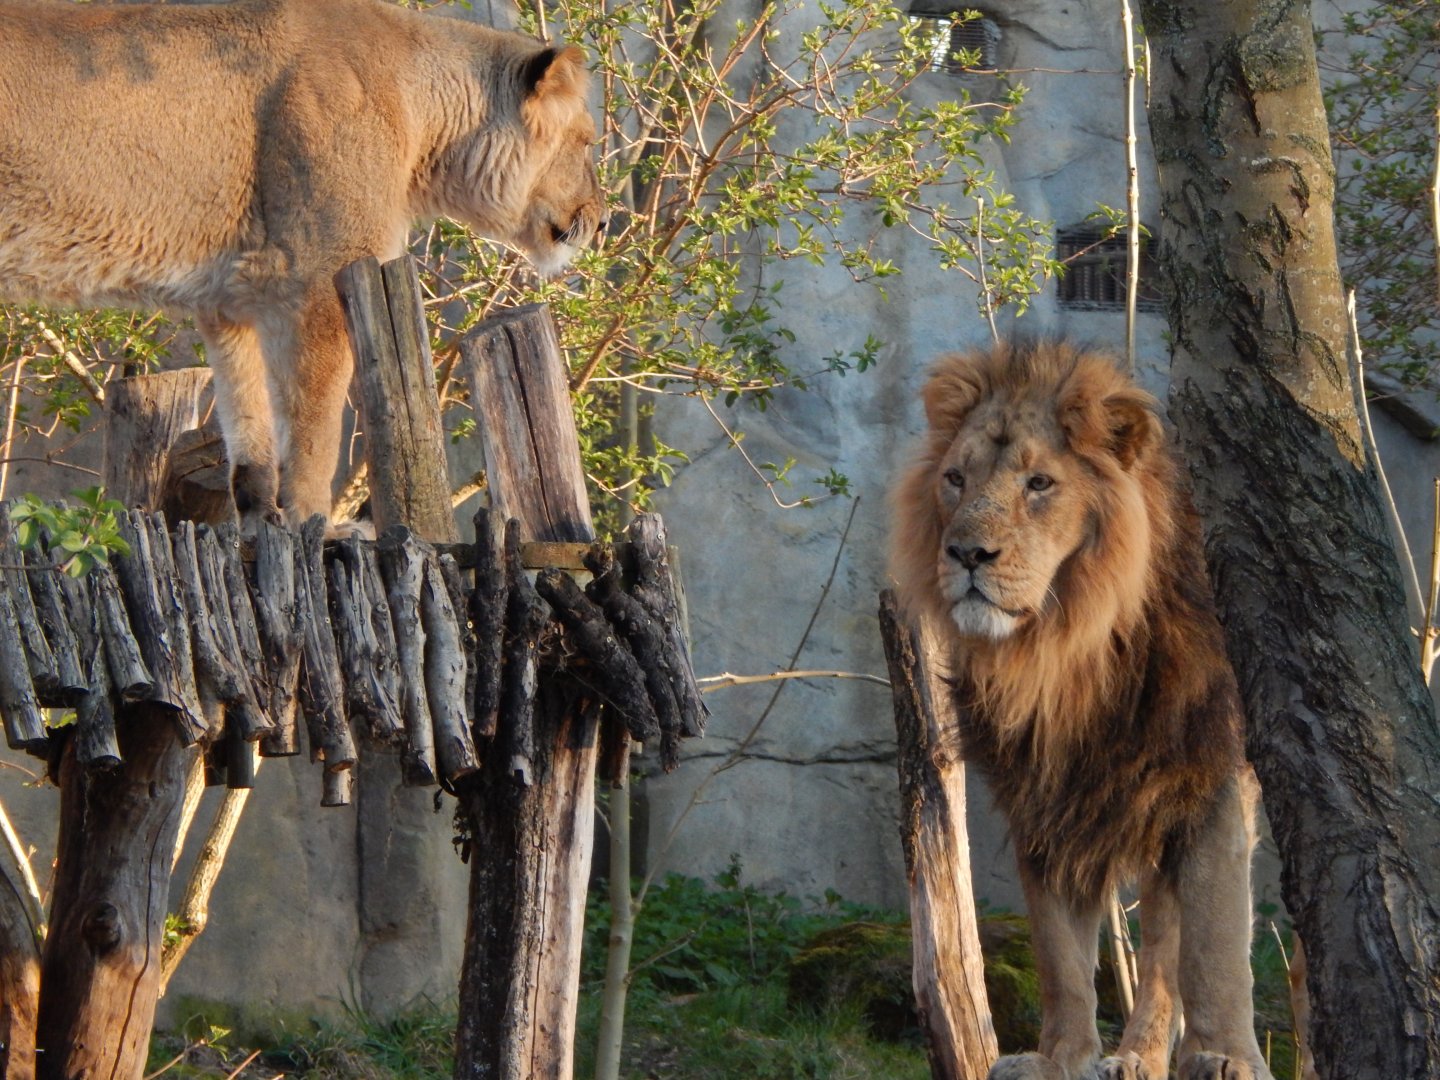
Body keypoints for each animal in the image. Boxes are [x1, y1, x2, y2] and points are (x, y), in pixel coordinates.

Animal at [0, 0, 606, 530]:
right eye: (585, 141)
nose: (600, 222)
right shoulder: (317, 280)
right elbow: (316, 428)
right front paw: (317, 525)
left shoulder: (232, 301)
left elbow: (249, 419)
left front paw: (260, 518)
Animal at [890, 340, 1274, 1080]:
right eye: (954, 479)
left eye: (1039, 483)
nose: (966, 553)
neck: (1069, 652)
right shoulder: (1045, 794)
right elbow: (1061, 955)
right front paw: (1059, 1058)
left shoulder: (1212, 776)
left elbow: (1214, 941)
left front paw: (1226, 1056)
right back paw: (1135, 1056)